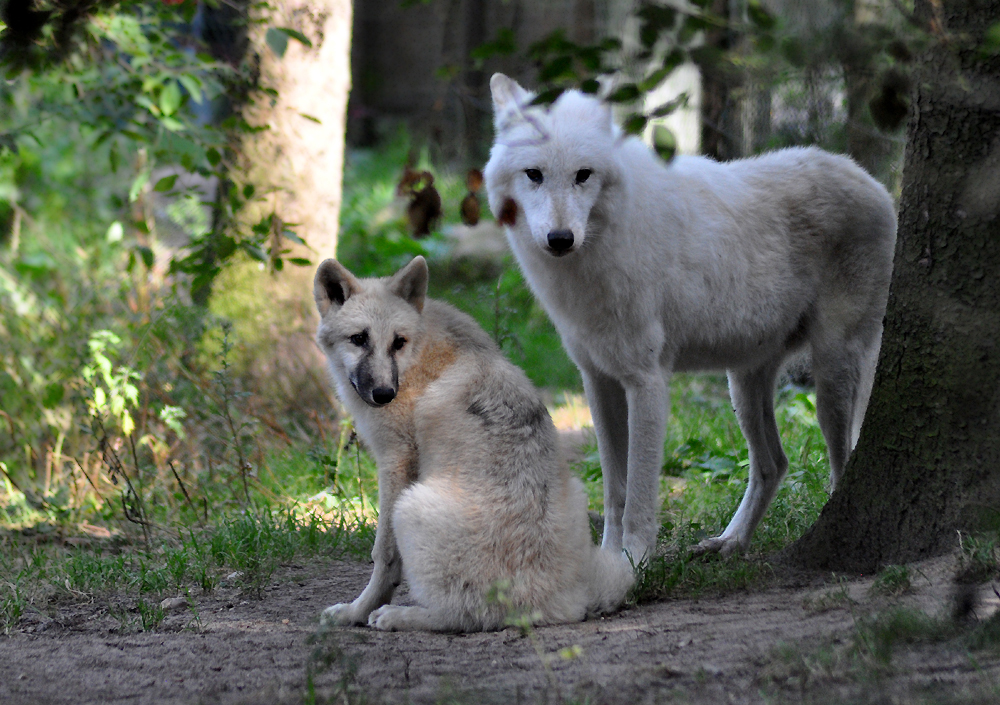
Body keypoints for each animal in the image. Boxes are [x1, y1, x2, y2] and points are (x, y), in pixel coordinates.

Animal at [312, 256, 632, 628]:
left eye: (398, 342)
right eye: (359, 339)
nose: (384, 394)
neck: (419, 357)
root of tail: (560, 604)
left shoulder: (394, 461)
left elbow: (384, 557)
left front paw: (356, 612)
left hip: (409, 507)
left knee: (461, 615)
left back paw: (399, 616)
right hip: (579, 498)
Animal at [484, 73, 900, 560]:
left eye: (582, 175)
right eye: (534, 174)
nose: (560, 238)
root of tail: (875, 183)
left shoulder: (647, 382)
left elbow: (639, 495)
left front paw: (634, 561)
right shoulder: (598, 380)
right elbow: (614, 490)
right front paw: (607, 559)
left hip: (831, 377)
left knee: (841, 461)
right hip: (743, 384)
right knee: (774, 464)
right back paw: (731, 542)